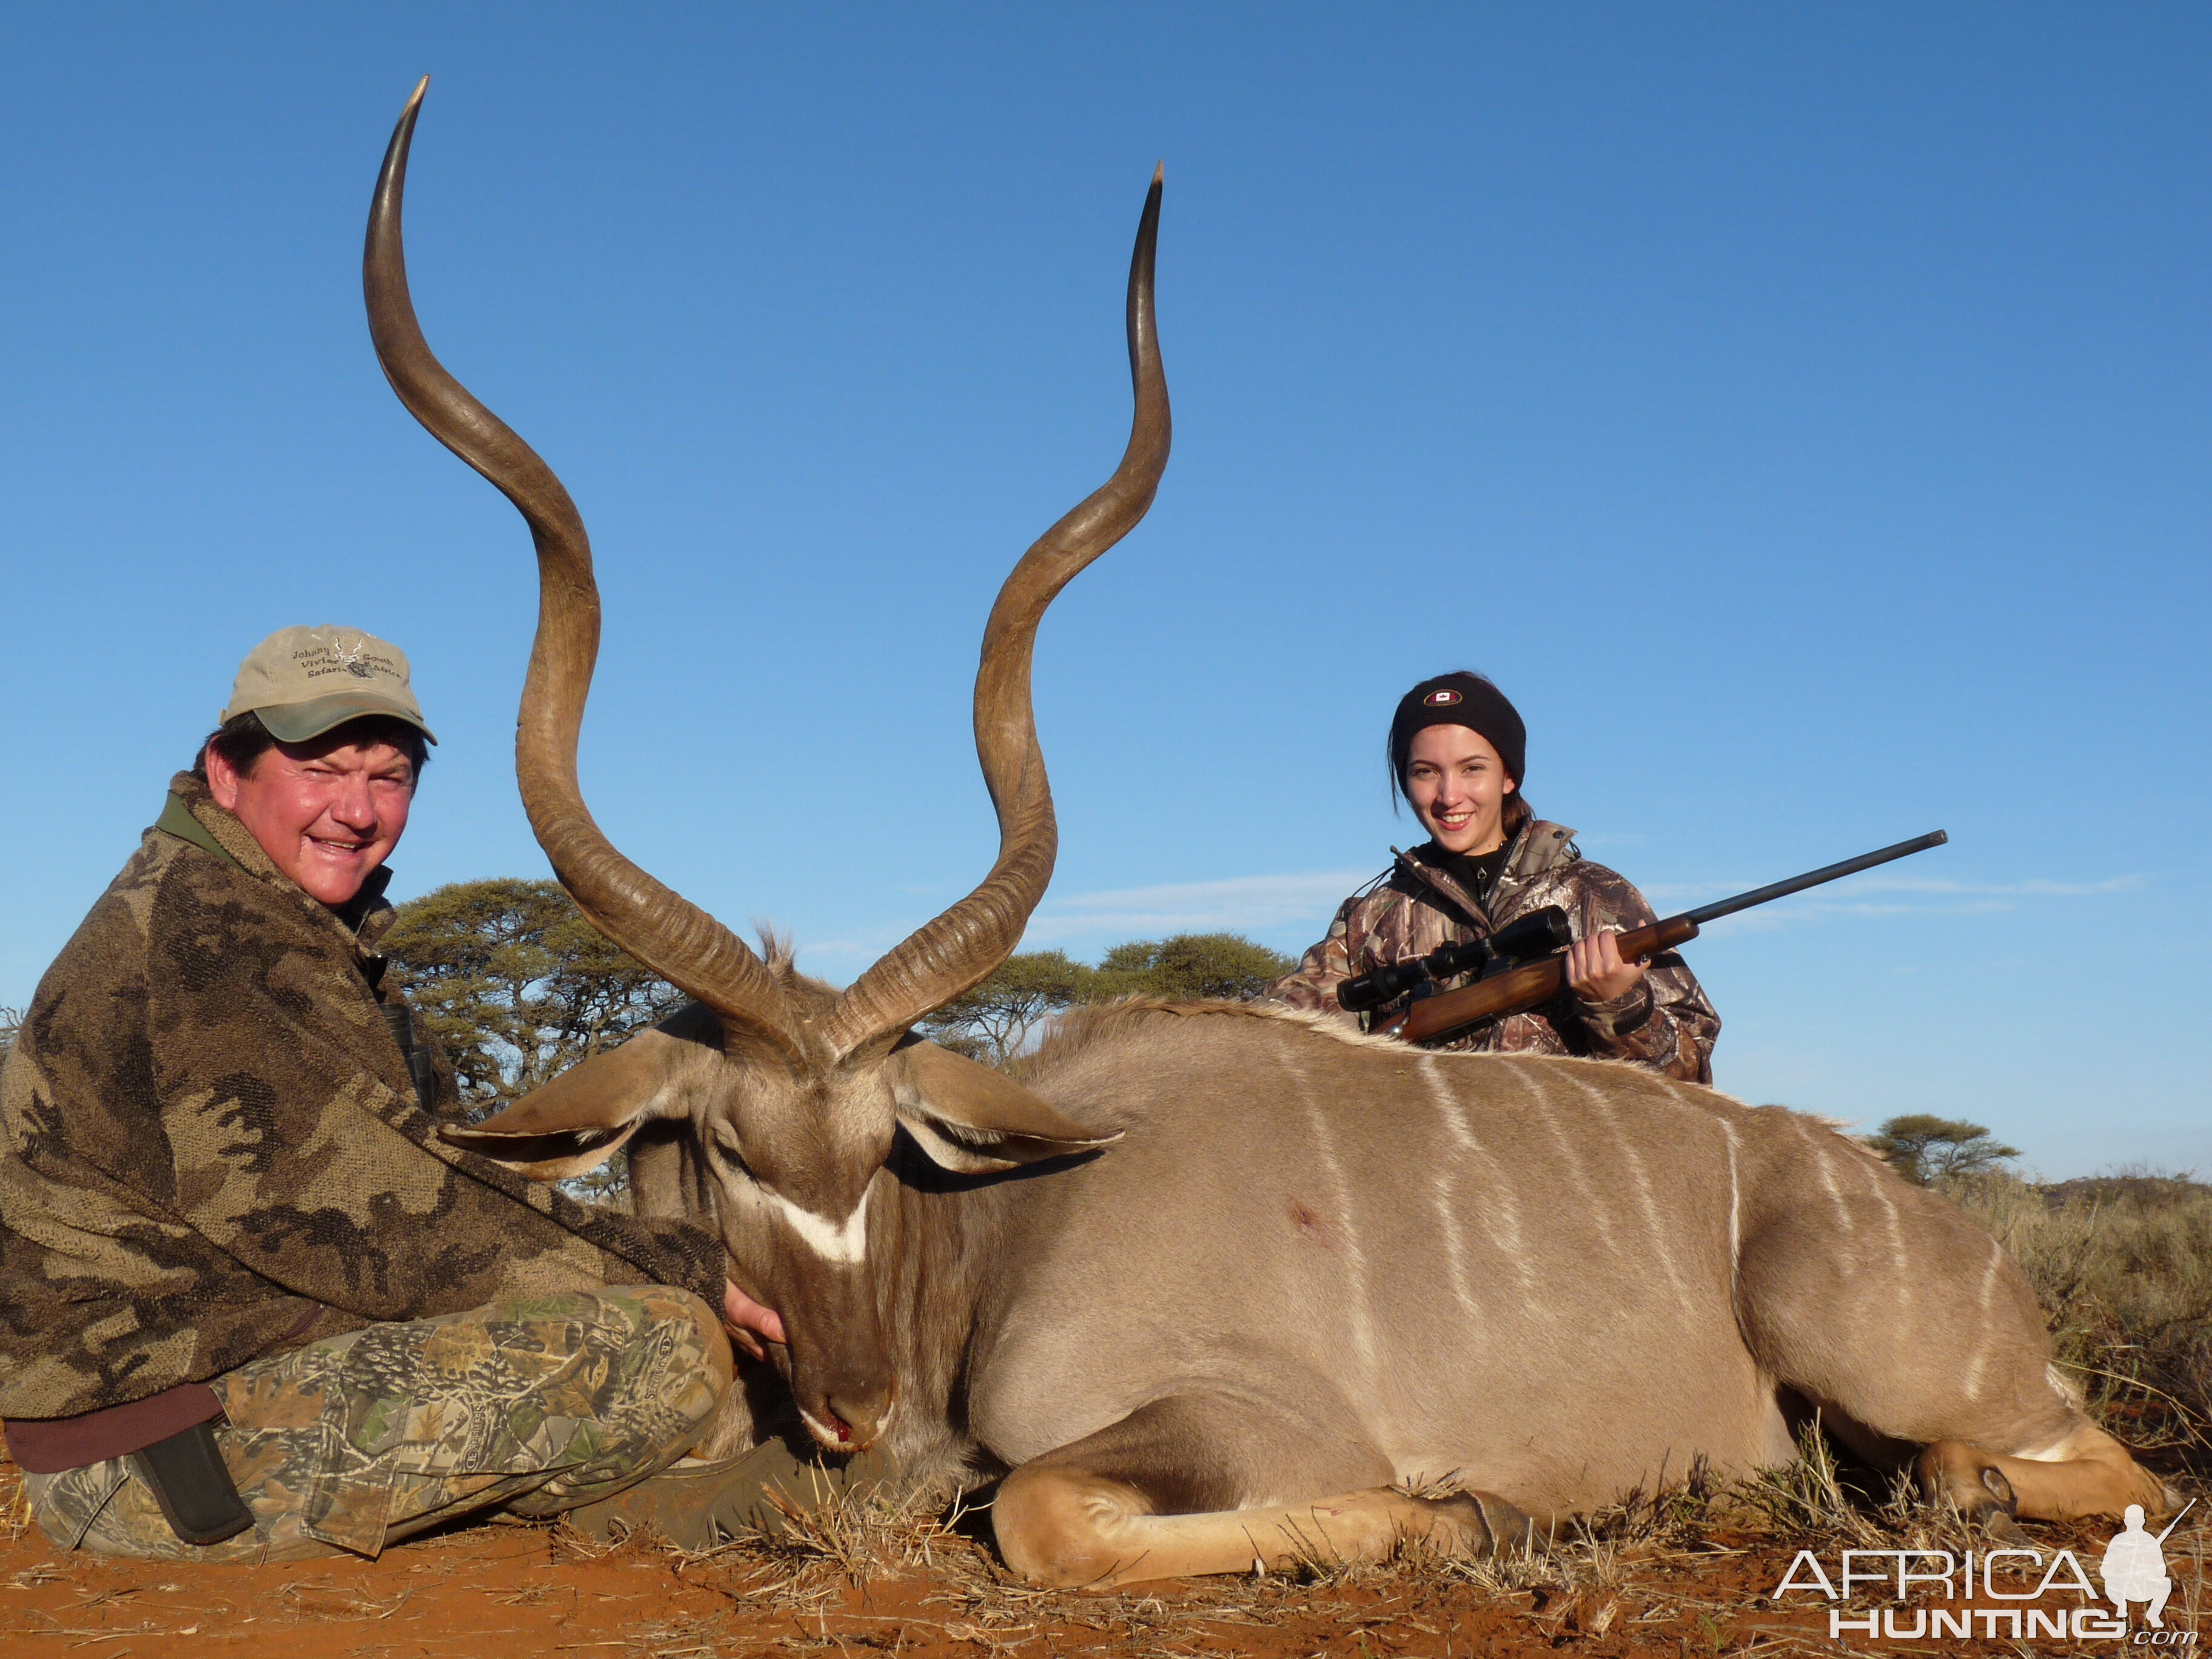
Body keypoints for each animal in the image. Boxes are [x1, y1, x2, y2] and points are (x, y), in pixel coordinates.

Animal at [363, 84, 2159, 1592]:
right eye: (729, 1148)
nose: (856, 1404)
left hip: (1881, 1349)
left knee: (2092, 1468)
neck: (1002, 1228)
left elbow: (1036, 1507)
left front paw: (1480, 1507)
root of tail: (1952, 1237)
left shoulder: (1242, 1420)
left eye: (885, 1143)